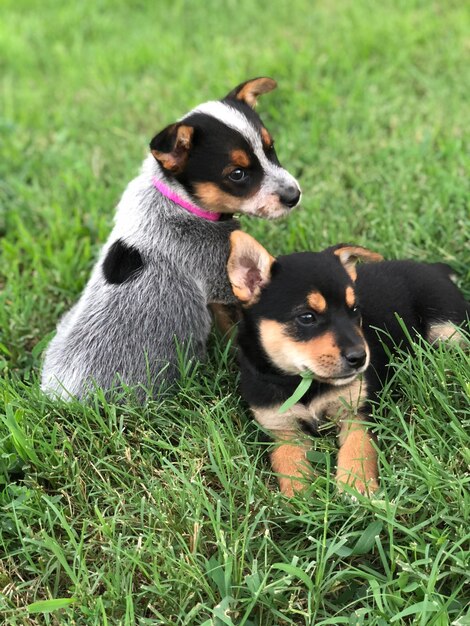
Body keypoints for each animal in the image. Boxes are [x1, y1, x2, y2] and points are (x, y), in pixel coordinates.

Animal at [43, 79, 302, 400]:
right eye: (238, 174)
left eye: (270, 149)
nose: (294, 195)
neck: (180, 200)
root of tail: (62, 398)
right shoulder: (222, 282)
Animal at [226, 232, 468, 494]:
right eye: (307, 317)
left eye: (354, 310)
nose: (360, 358)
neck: (305, 383)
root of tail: (434, 269)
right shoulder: (281, 427)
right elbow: (287, 459)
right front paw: (300, 493)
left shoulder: (356, 411)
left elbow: (358, 447)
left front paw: (356, 485)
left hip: (447, 331)